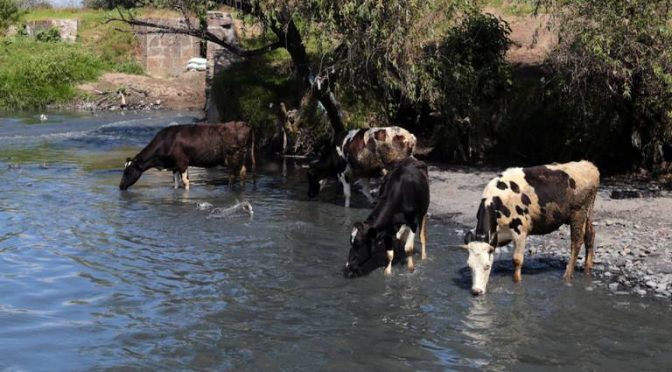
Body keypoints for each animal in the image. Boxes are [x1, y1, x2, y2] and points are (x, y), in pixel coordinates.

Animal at [119, 122, 256, 190]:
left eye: (127, 172)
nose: (120, 186)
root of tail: (243, 123)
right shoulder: (174, 165)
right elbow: (175, 183)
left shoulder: (182, 162)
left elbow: (185, 181)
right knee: (243, 172)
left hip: (233, 156)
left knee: (234, 174)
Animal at [462, 161, 600, 294]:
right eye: (469, 266)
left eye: (486, 266)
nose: (476, 291)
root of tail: (588, 165)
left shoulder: (520, 232)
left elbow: (517, 260)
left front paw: (517, 283)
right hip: (588, 211)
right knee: (590, 233)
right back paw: (587, 269)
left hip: (578, 212)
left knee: (576, 241)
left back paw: (567, 275)